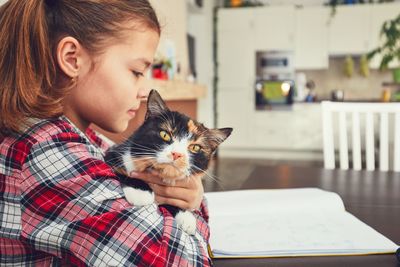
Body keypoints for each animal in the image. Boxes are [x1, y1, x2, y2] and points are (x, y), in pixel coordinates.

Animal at [104, 89, 233, 234]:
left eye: (195, 147)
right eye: (165, 134)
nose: (176, 154)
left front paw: (185, 217)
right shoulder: (112, 154)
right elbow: (121, 169)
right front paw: (140, 191)